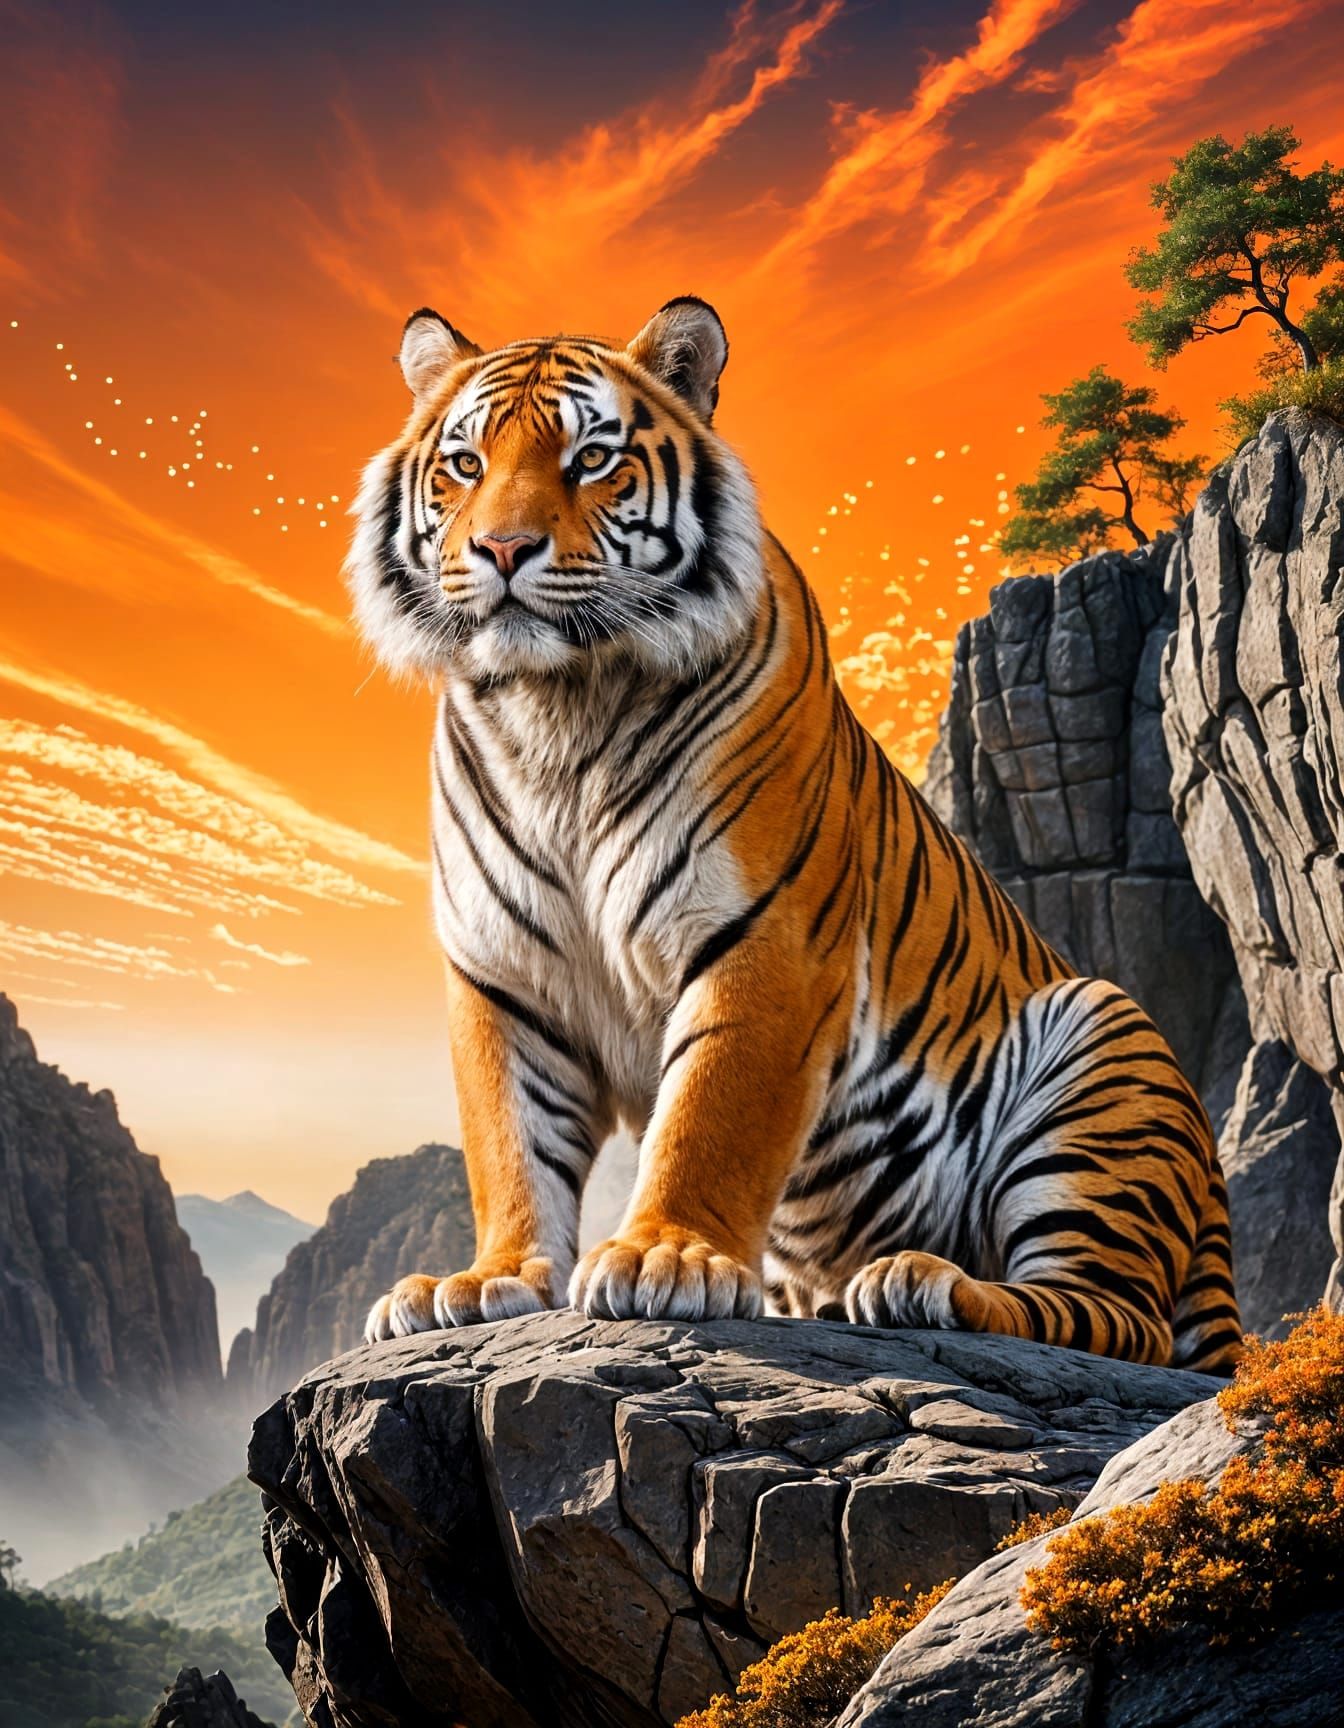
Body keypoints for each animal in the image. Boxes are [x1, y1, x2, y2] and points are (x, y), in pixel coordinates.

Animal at [347, 295, 1241, 1373]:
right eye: (466, 465)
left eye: (591, 459)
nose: (504, 550)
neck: (556, 712)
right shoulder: (504, 974)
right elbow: (509, 1142)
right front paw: (487, 1284)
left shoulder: (763, 937)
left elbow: (710, 1112)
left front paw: (665, 1259)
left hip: (1102, 1045)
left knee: (1116, 1318)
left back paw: (918, 1283)